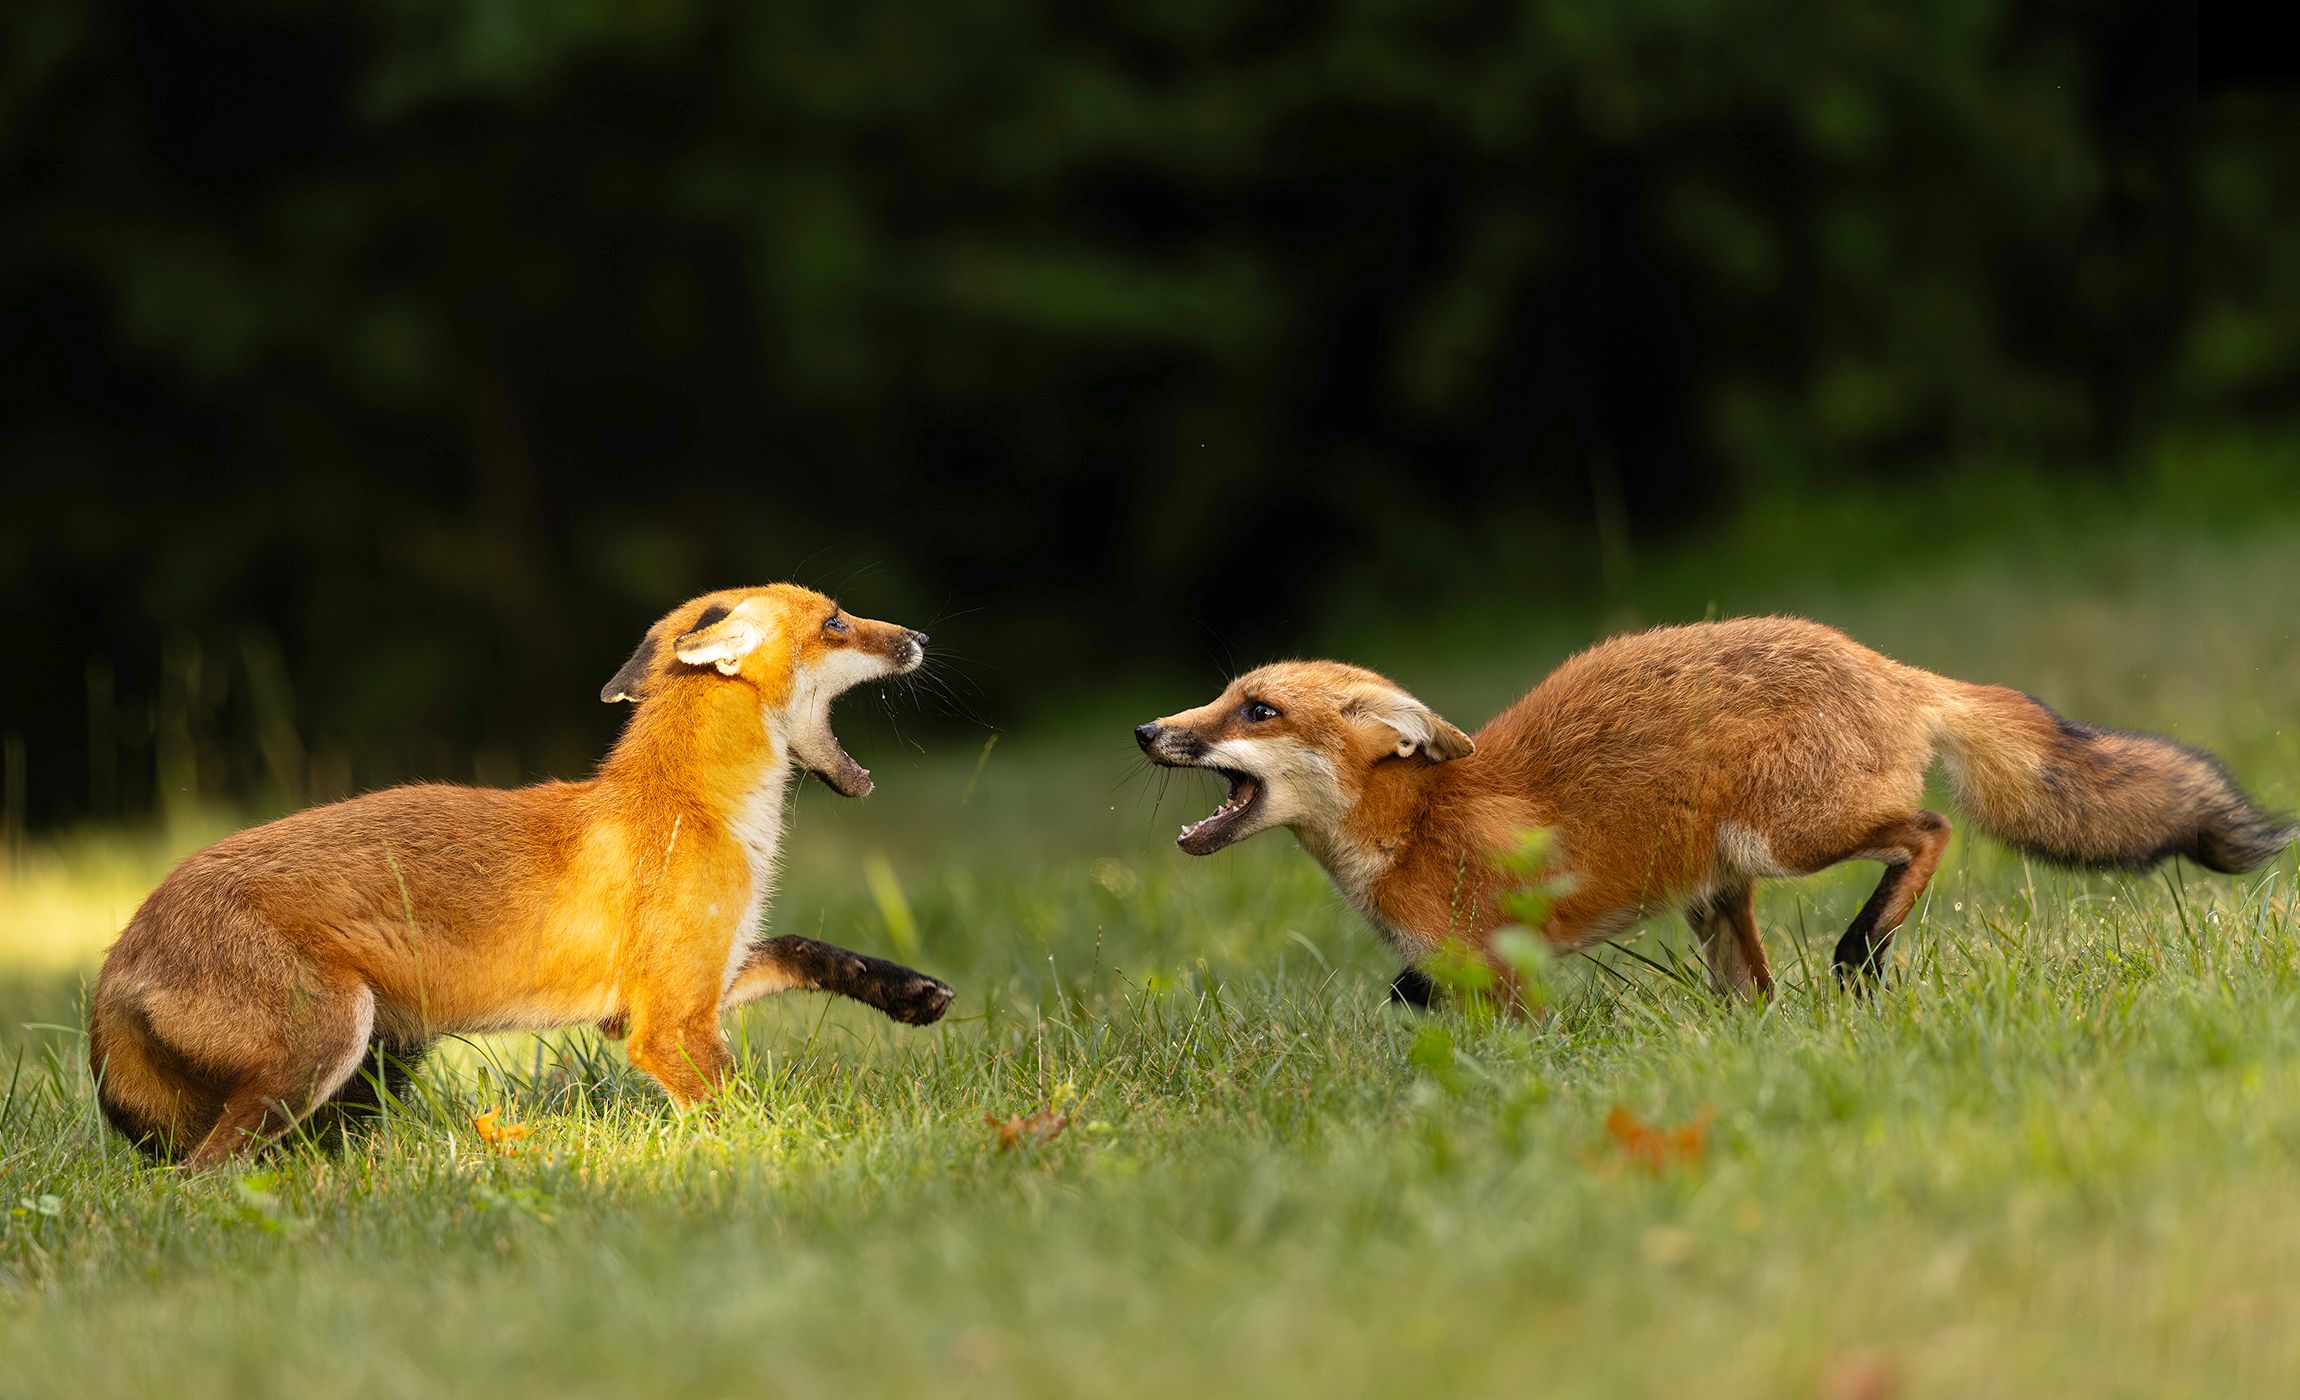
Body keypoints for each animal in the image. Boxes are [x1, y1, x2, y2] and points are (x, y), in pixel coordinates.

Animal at [88, 584, 956, 1167]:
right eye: (836, 621)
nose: (920, 634)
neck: (692, 807)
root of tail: (120, 948)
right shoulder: (664, 1027)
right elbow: (743, 1114)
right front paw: (791, 1160)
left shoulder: (671, 993)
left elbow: (805, 948)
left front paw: (903, 991)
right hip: (330, 1039)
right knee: (205, 1175)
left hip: (379, 1055)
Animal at [1135, 617, 2293, 1005]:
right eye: (1222, 696)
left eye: (1257, 708)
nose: (1147, 731)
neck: (1416, 829)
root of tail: (1884, 662)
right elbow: (1414, 998)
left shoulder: (1505, 972)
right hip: (1718, 896)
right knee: (1758, 998)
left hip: (1782, 841)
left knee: (1929, 832)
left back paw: (1863, 951)